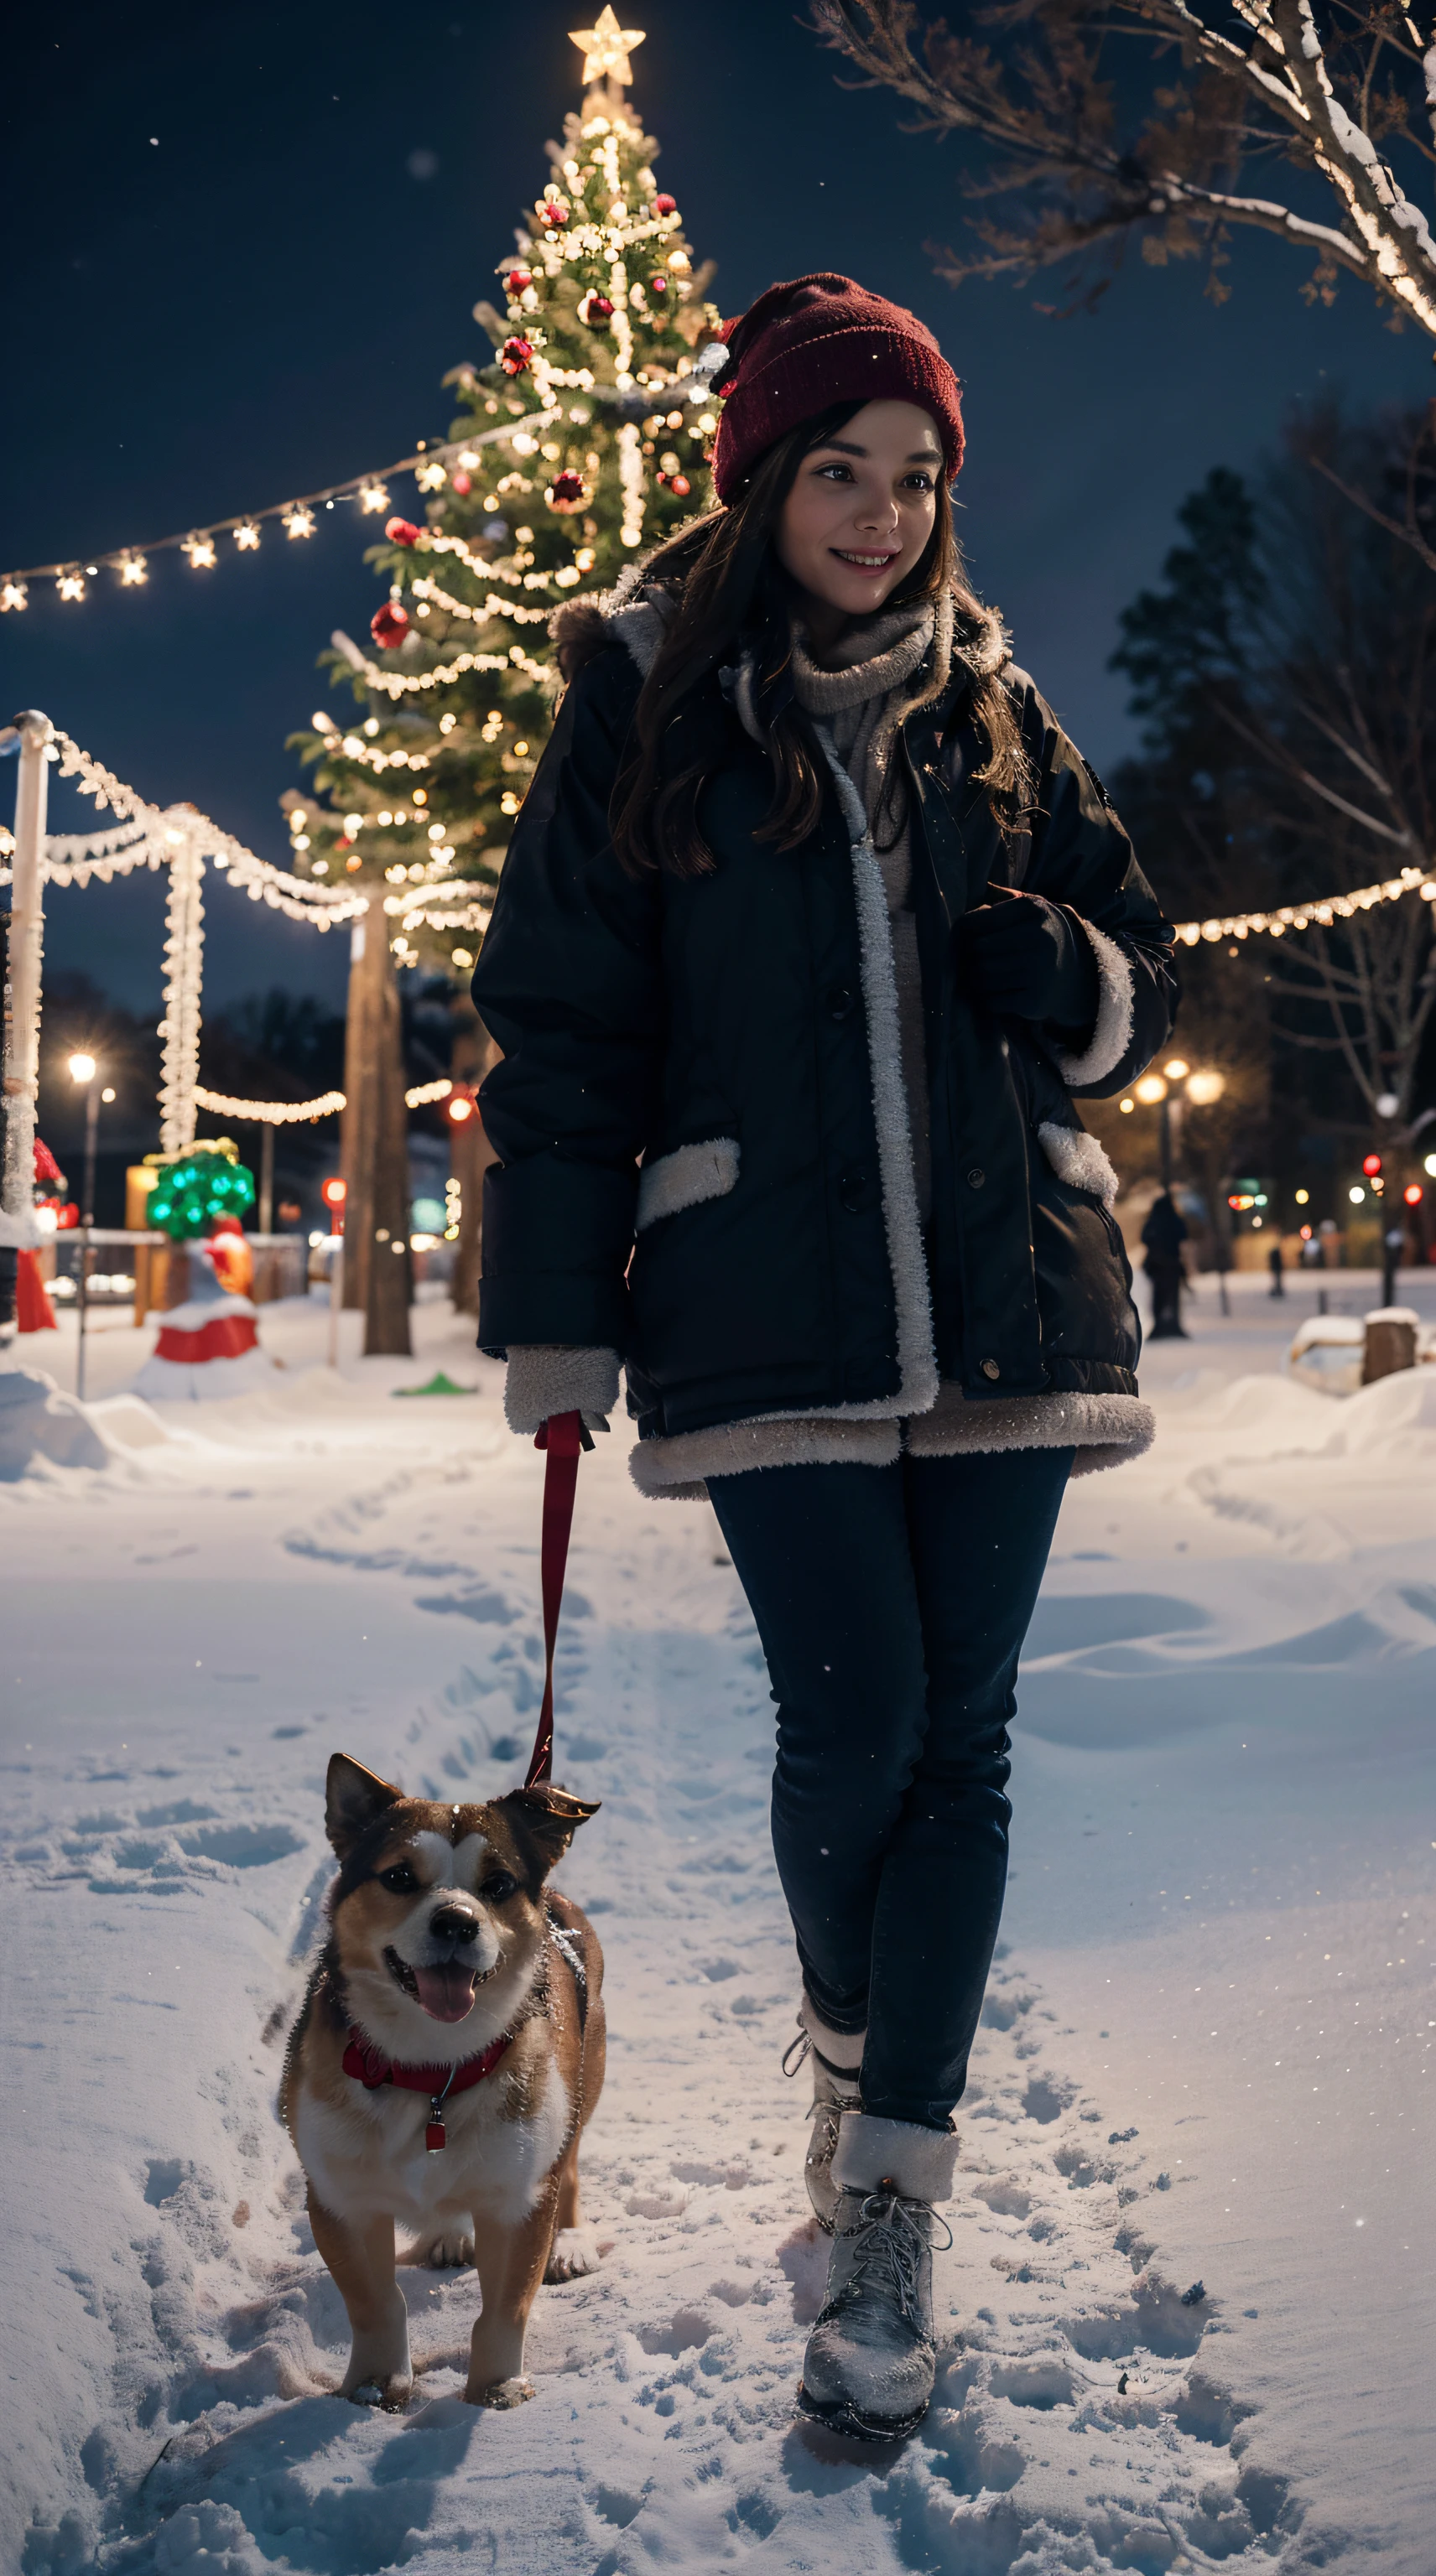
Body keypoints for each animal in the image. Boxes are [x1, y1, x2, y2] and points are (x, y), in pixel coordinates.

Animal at [282, 1751, 601, 2411]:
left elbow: (505, 2307)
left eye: (498, 1885)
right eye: (400, 1876)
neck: (430, 2067)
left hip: (585, 2080)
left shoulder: (519, 2196)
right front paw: (376, 2387)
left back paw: (570, 2243)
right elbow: (376, 2303)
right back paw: (450, 2234)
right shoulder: (341, 2196)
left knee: (570, 2166)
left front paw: (496, 2391)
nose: (456, 1922)